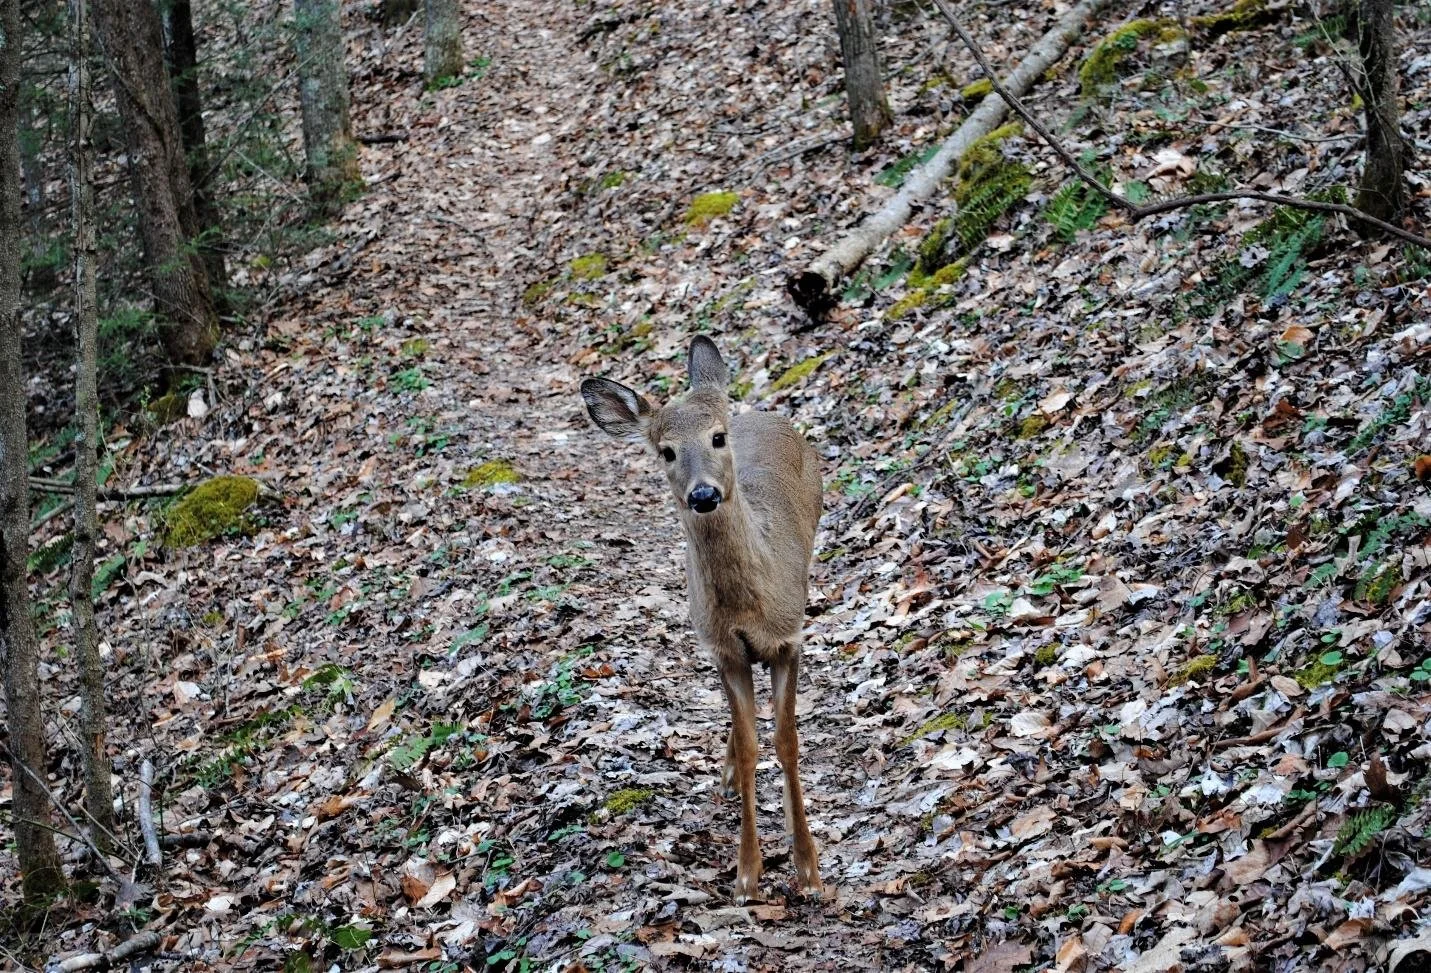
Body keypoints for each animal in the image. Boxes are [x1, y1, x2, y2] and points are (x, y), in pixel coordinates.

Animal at [580, 336, 823, 903]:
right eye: (665, 451)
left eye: (716, 437)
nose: (704, 494)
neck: (749, 603)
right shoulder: (725, 649)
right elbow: (753, 744)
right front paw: (748, 875)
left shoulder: (789, 637)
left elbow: (787, 742)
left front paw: (808, 868)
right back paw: (729, 775)